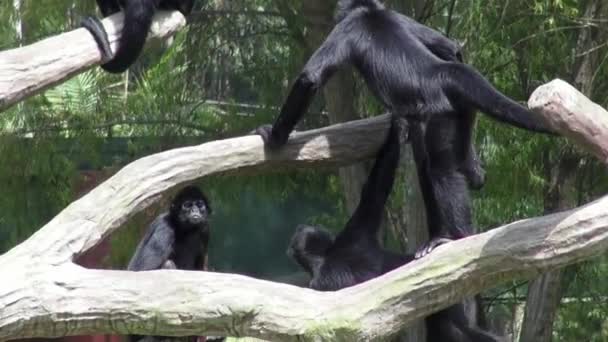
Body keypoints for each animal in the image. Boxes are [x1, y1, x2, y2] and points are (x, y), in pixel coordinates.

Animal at [127, 186, 213, 342]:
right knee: (168, 264)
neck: (186, 230)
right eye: (187, 205)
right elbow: (142, 270)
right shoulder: (165, 226)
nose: (195, 211)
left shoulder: (205, 228)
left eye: (199, 204)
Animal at [254, 0, 560, 247]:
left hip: (441, 115)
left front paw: (275, 137)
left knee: (440, 171)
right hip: (462, 113)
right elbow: (449, 46)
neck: (372, 11)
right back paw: (472, 171)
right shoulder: (396, 15)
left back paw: (456, 237)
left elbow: (310, 78)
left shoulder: (349, 27)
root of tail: (441, 73)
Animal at [290, 118, 504, 342]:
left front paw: (398, 124)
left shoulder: (351, 236)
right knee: (453, 327)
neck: (327, 256)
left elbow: (376, 186)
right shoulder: (347, 245)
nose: (302, 226)